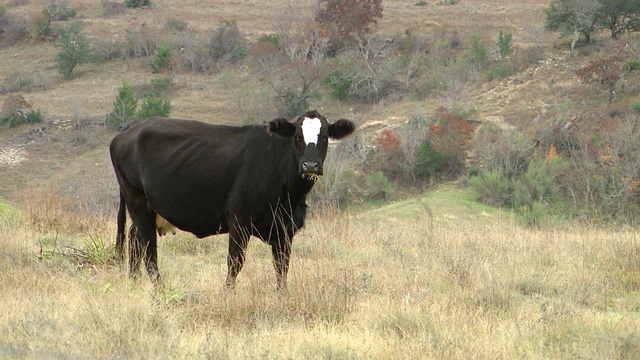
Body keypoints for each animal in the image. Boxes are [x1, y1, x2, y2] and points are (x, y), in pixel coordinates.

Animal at [112, 109, 358, 290]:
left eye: (324, 137)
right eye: (297, 136)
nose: (310, 165)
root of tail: (133, 126)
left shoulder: (285, 229)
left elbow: (282, 268)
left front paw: (282, 296)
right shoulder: (239, 222)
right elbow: (234, 264)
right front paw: (227, 295)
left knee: (134, 240)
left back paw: (134, 283)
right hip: (137, 201)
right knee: (148, 250)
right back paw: (160, 291)